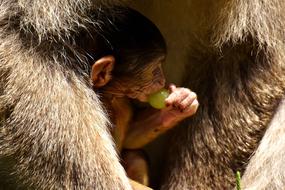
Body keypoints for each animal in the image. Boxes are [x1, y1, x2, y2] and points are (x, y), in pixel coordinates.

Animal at [77, 5, 197, 189]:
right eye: (154, 69)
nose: (162, 80)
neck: (106, 97)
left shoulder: (121, 102)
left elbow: (130, 139)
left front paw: (178, 105)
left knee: (136, 157)